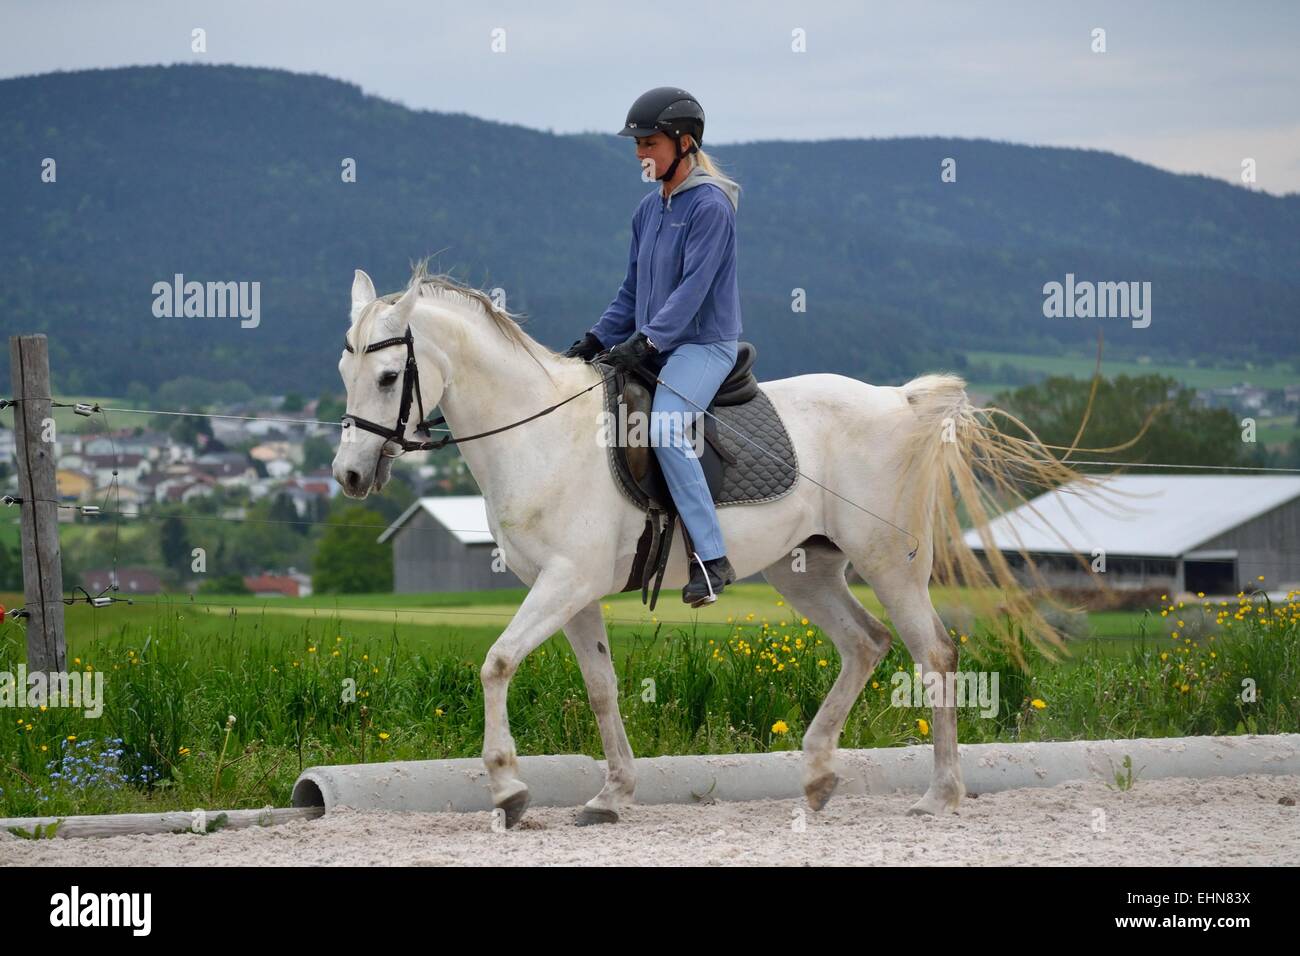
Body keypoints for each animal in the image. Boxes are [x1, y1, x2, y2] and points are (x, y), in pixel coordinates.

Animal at [335, 265, 1076, 827]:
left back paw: (940, 794)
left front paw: (510, 790)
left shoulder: (564, 582)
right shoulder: (572, 593)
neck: (538, 434)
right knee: (866, 644)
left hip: (890, 563)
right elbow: (601, 687)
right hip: (804, 571)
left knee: (935, 656)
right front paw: (611, 795)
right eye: (344, 370)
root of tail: (901, 402)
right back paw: (816, 778)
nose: (349, 476)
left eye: (387, 377)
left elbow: (496, 663)